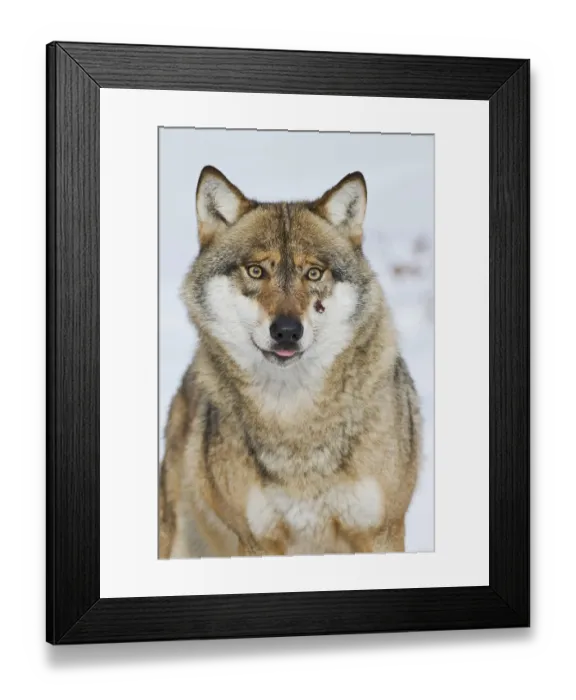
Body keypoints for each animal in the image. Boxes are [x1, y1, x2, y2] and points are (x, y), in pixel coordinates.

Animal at [158, 165, 422, 558]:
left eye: (313, 273)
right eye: (256, 271)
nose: (286, 331)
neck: (295, 419)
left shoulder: (381, 533)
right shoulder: (258, 541)